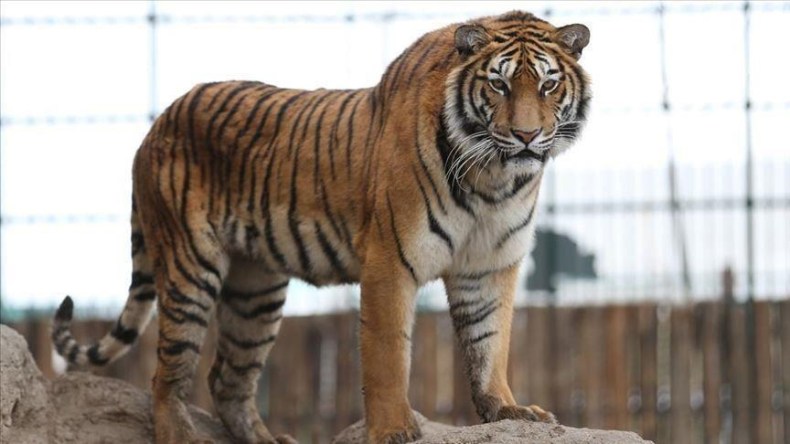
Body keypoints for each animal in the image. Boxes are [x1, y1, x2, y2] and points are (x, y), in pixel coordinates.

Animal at [51, 10, 590, 444]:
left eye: (547, 85)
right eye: (499, 85)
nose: (526, 135)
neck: (495, 179)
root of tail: (156, 124)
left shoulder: (489, 265)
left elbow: (490, 345)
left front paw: (507, 409)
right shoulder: (390, 260)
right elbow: (388, 353)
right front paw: (394, 429)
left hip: (256, 290)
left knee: (228, 379)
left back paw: (269, 441)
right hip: (190, 267)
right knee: (166, 374)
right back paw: (182, 436)